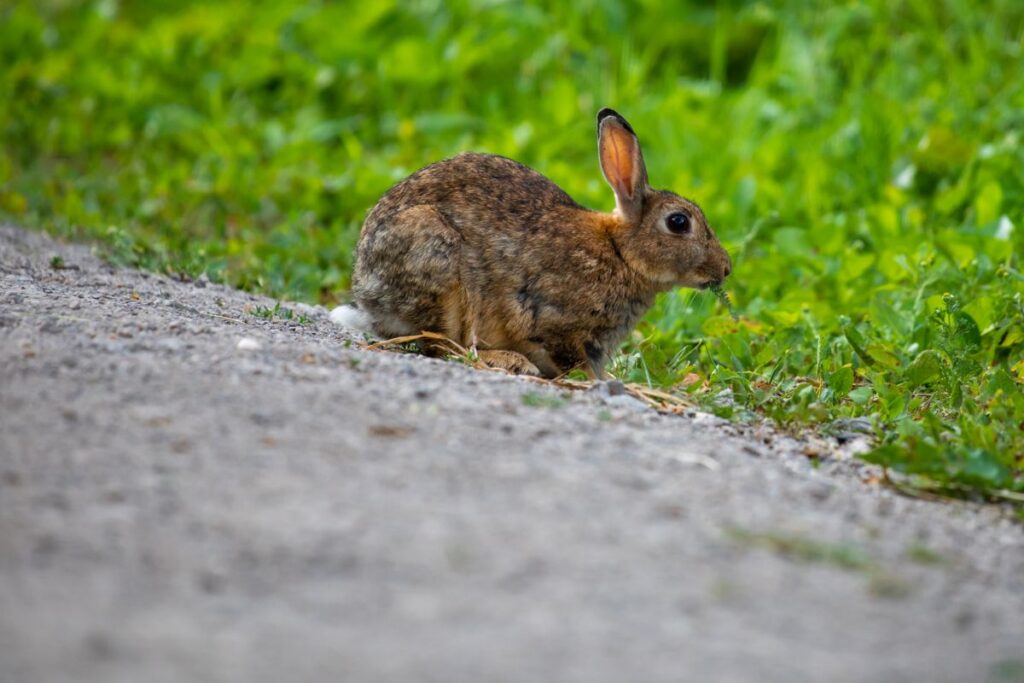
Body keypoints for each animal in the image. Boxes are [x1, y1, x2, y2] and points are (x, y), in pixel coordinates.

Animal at [333, 108, 732, 379]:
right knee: (445, 345)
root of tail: (367, 291)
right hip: (440, 268)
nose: (726, 267)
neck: (620, 253)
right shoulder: (553, 319)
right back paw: (511, 362)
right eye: (678, 222)